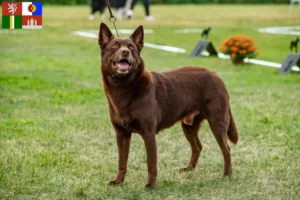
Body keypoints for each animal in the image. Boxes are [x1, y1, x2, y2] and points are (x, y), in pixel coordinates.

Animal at [98, 22, 239, 188]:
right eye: (114, 46)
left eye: (131, 47)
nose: (125, 52)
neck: (124, 87)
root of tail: (216, 75)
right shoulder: (121, 135)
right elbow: (122, 162)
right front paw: (118, 181)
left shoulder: (149, 134)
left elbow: (151, 163)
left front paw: (151, 185)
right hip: (189, 126)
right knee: (197, 146)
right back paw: (189, 169)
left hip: (217, 122)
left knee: (226, 149)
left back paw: (227, 174)